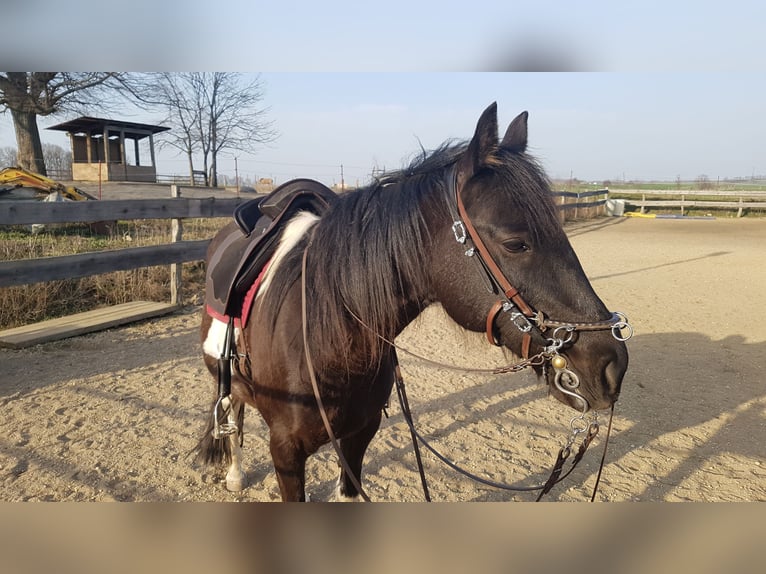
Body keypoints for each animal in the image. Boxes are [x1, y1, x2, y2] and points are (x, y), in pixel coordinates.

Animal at [196, 104, 632, 504]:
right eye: (515, 243)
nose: (612, 365)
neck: (325, 339)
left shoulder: (358, 438)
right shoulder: (286, 452)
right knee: (231, 410)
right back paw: (235, 473)